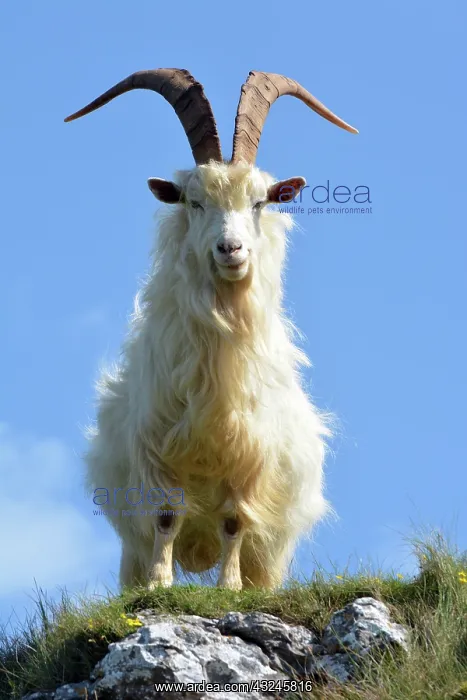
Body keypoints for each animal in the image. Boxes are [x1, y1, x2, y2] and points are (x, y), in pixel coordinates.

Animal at [65, 69, 357, 590]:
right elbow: (165, 516)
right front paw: (160, 584)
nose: (231, 249)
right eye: (194, 201)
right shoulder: (158, 453)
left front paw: (229, 587)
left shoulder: (250, 460)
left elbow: (234, 521)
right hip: (129, 546)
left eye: (260, 202)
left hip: (274, 552)